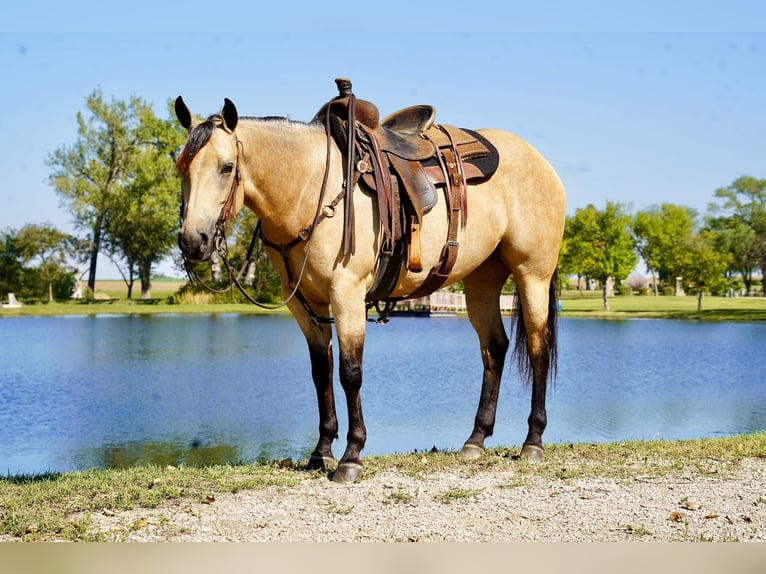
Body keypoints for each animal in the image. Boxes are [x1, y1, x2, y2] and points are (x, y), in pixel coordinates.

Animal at [174, 83, 566, 483]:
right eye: (181, 167)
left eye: (227, 167)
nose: (193, 240)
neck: (308, 189)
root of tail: (540, 162)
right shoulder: (304, 303)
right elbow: (321, 372)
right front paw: (321, 451)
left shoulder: (346, 292)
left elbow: (350, 372)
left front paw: (351, 456)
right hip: (482, 280)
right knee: (494, 348)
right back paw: (476, 439)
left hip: (532, 274)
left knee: (539, 347)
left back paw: (533, 441)